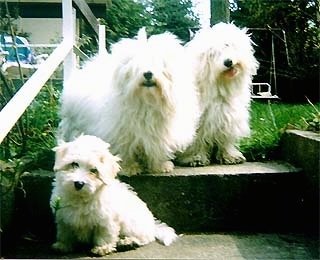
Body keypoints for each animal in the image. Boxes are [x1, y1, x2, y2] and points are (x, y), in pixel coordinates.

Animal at [50, 135, 178, 256]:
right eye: (74, 164)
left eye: (94, 170)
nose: (79, 183)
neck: (81, 198)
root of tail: (152, 226)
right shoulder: (63, 216)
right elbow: (64, 231)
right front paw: (63, 245)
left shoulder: (107, 219)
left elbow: (104, 234)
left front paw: (102, 248)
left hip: (133, 223)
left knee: (145, 238)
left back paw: (128, 242)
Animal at [57, 27, 198, 175]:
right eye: (137, 66)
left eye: (159, 65)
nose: (148, 73)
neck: (147, 103)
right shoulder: (121, 133)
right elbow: (125, 150)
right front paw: (129, 168)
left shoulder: (159, 134)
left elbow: (158, 149)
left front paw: (160, 166)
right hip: (73, 125)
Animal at [175, 21, 260, 166]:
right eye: (212, 54)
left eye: (227, 45)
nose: (228, 62)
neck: (220, 86)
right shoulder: (200, 121)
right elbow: (197, 140)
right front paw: (196, 158)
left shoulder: (228, 116)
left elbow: (226, 138)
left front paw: (230, 156)